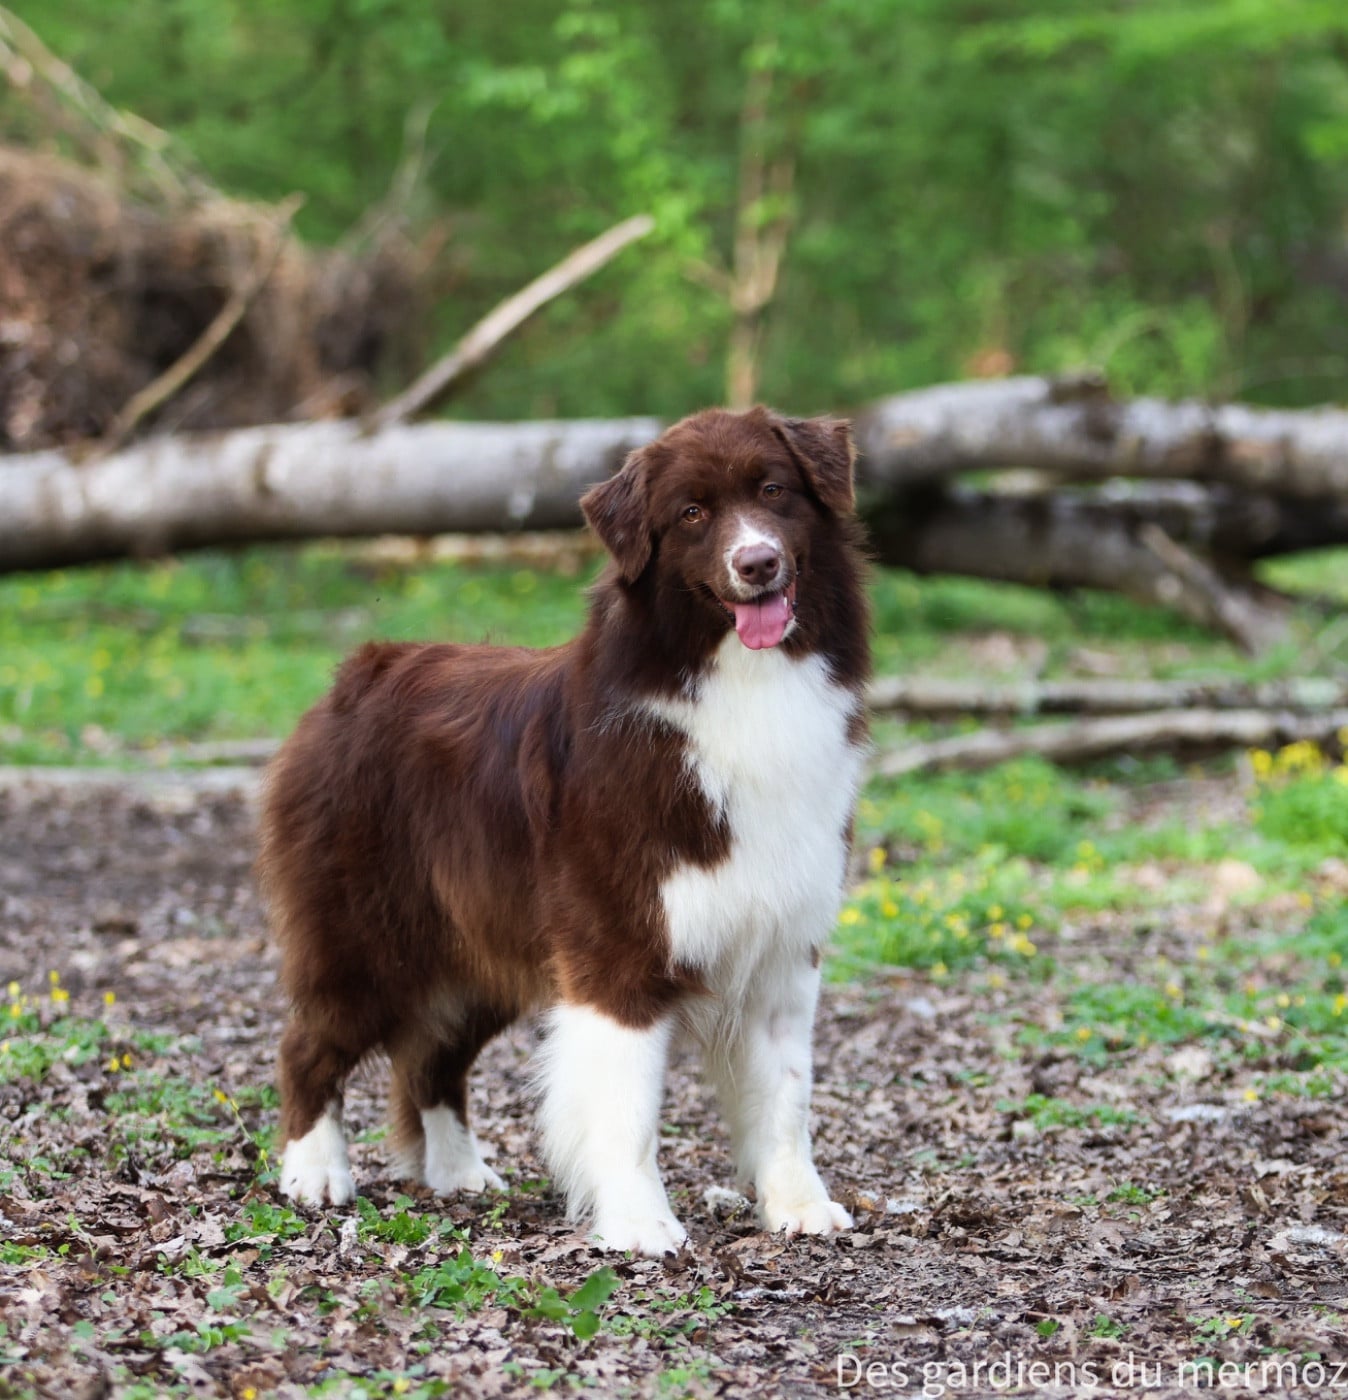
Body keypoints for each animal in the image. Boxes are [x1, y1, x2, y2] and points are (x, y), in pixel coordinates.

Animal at [257, 406, 871, 1256]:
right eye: (691, 513)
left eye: (775, 490)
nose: (757, 562)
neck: (738, 686)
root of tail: (356, 674)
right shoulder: (617, 946)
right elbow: (628, 1105)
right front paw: (641, 1223)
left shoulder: (784, 945)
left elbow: (786, 1094)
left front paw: (799, 1206)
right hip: (367, 935)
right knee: (309, 1043)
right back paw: (314, 1172)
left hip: (475, 948)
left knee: (431, 1060)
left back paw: (459, 1172)